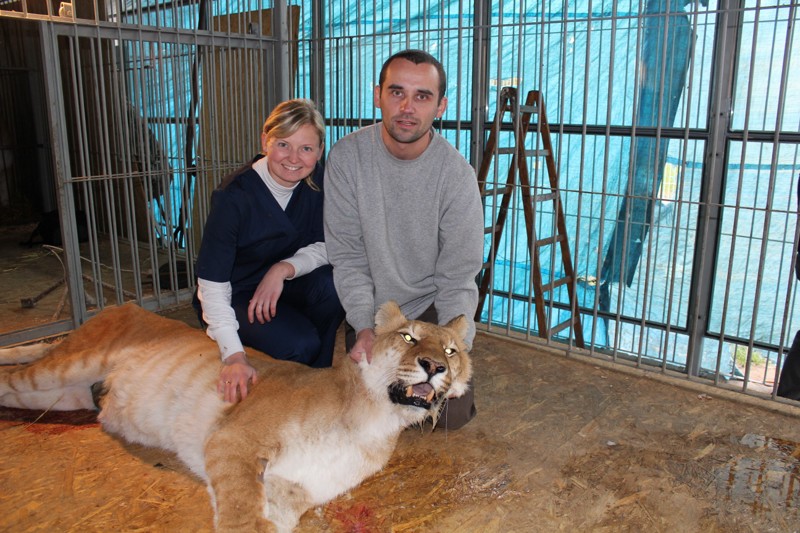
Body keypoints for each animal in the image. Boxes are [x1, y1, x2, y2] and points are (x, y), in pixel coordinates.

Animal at [0, 300, 472, 532]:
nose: (435, 366)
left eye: (451, 350)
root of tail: (123, 306)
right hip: (66, 367)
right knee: (12, 377)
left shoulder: (295, 488)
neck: (375, 422)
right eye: (408, 337)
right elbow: (243, 509)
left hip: (64, 393)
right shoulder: (233, 440)